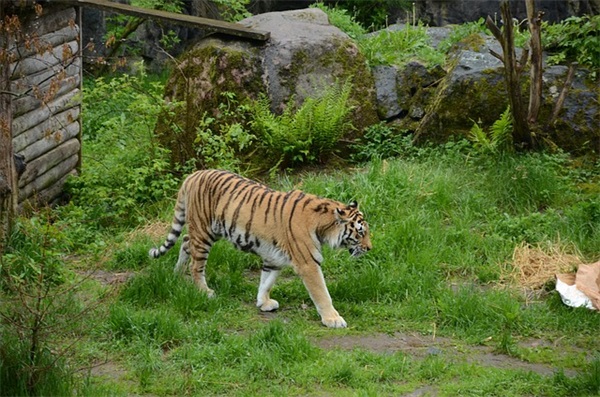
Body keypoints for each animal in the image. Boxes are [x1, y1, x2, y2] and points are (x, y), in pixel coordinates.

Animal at [149, 169, 370, 326]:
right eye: (360, 233)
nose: (369, 248)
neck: (323, 226)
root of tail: (193, 175)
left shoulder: (274, 258)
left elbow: (267, 281)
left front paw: (263, 303)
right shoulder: (308, 263)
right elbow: (322, 293)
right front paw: (333, 319)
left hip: (207, 231)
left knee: (186, 241)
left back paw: (176, 274)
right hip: (204, 231)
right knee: (196, 264)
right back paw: (204, 291)